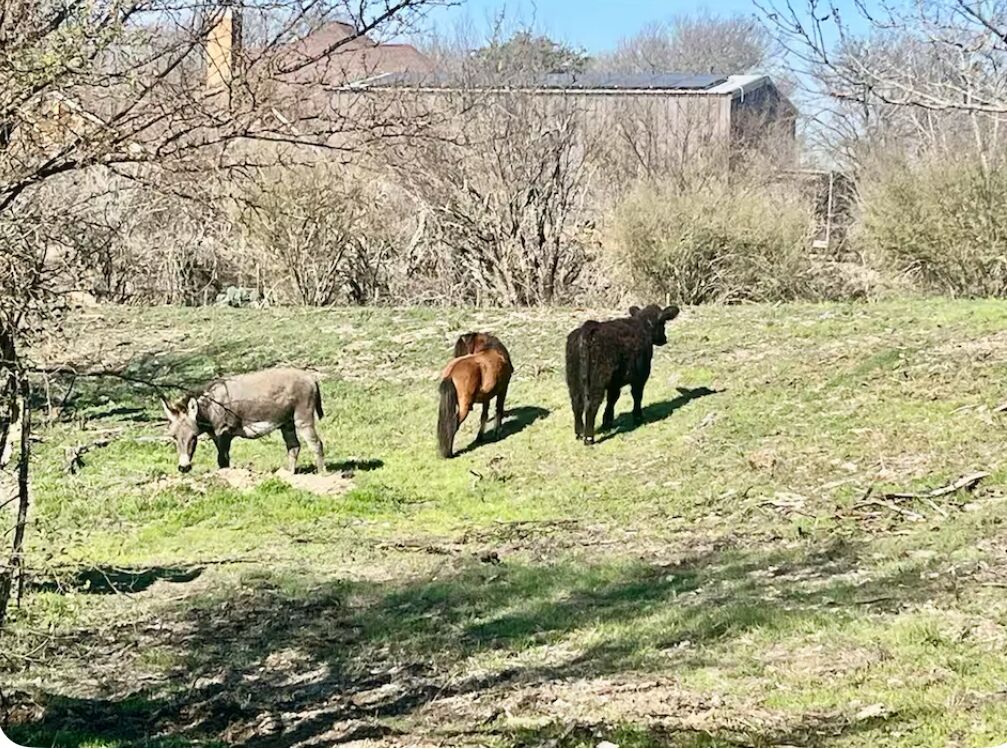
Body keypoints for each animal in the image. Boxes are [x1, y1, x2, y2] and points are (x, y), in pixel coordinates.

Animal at [565, 304, 680, 444]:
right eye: (663, 323)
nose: (664, 339)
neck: (643, 326)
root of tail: (588, 328)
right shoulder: (641, 375)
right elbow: (637, 395)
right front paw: (638, 417)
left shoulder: (615, 382)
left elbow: (612, 399)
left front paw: (607, 422)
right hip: (597, 380)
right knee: (592, 404)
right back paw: (588, 438)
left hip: (573, 378)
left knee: (576, 403)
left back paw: (579, 433)